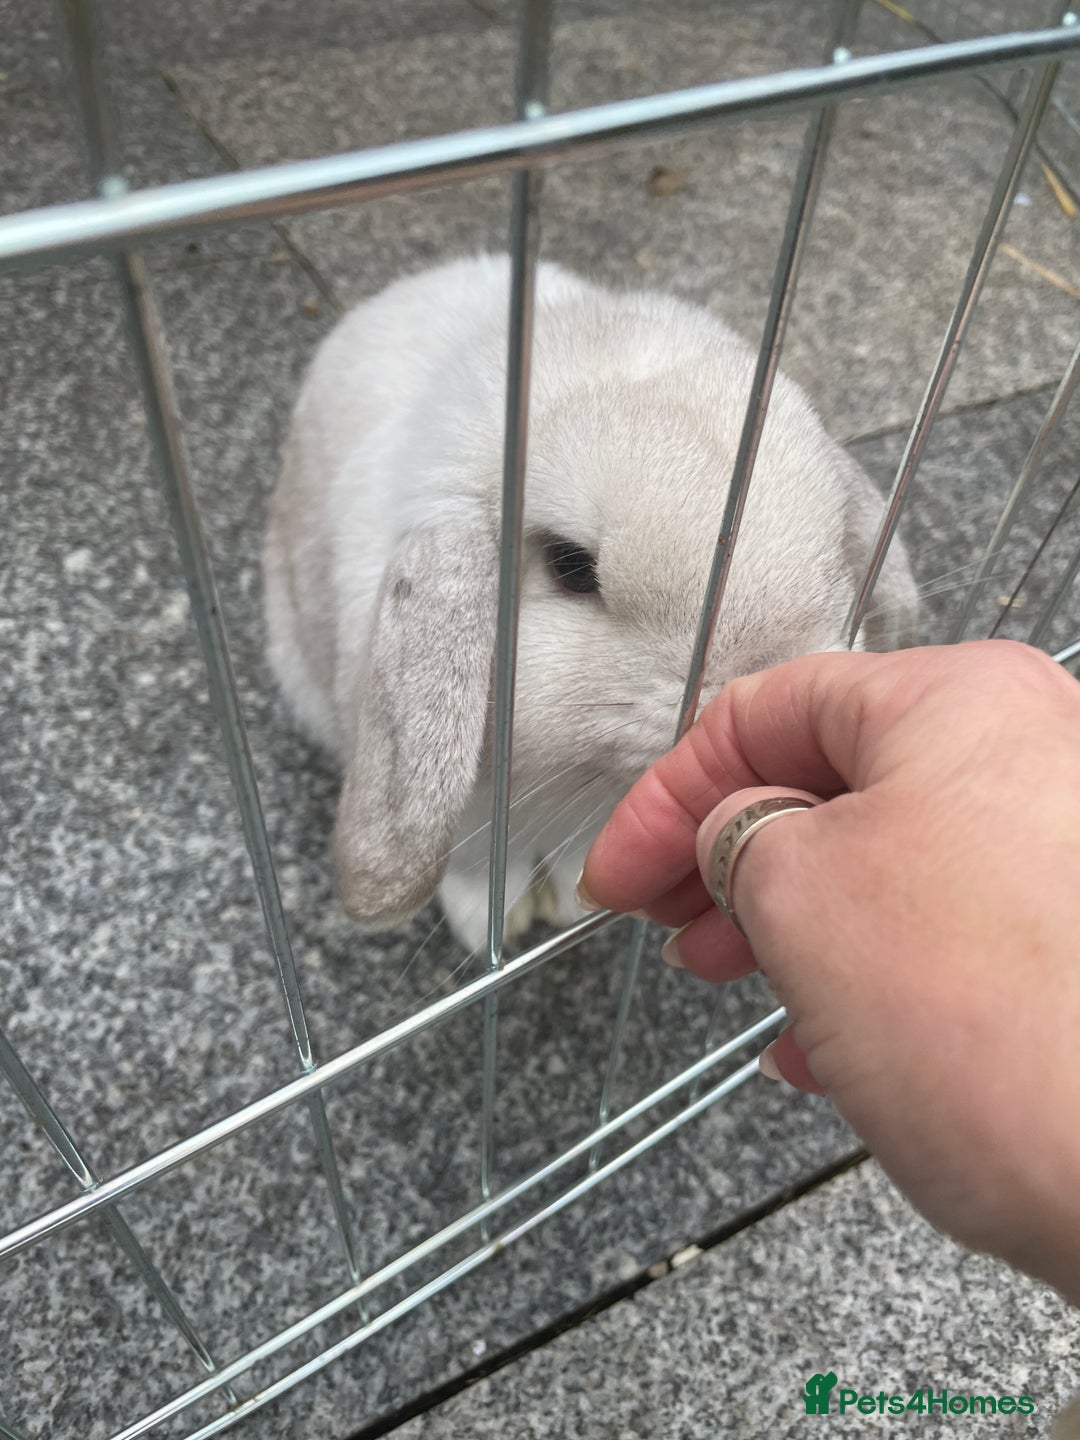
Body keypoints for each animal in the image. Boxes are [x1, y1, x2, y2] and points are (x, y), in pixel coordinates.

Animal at [263, 254, 917, 956]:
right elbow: (471, 870)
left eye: (832, 535)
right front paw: (497, 921)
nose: (765, 685)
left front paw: (575, 901)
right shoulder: (467, 828)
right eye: (571, 566)